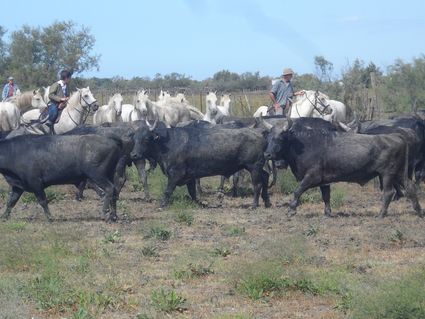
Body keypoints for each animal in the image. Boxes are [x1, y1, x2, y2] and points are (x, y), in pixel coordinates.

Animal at [129, 121, 270, 209]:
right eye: (134, 139)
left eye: (146, 139)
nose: (134, 155)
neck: (169, 143)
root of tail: (260, 133)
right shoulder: (190, 177)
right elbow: (192, 192)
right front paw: (199, 203)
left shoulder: (175, 174)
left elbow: (168, 191)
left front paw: (162, 204)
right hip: (258, 167)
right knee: (266, 177)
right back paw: (267, 202)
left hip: (254, 167)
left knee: (257, 184)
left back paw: (254, 205)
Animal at [262, 119, 420, 219]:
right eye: (268, 138)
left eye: (280, 138)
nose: (267, 154)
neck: (305, 144)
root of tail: (397, 136)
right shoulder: (324, 181)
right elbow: (326, 196)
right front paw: (327, 213)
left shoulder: (312, 177)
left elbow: (297, 191)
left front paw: (291, 210)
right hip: (399, 174)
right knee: (410, 188)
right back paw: (419, 211)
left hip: (387, 175)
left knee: (389, 193)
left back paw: (381, 214)